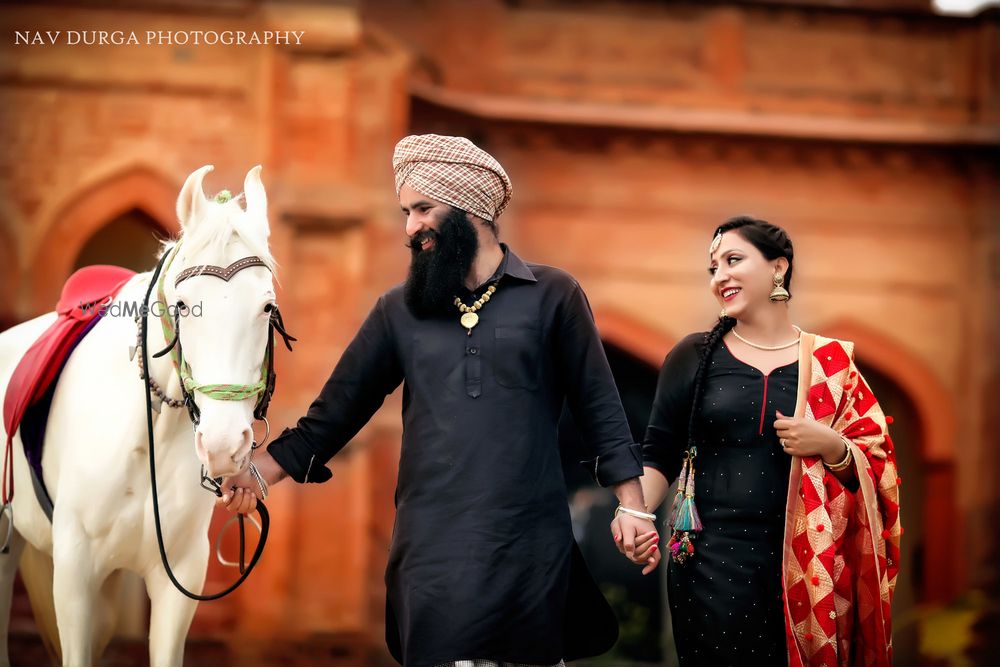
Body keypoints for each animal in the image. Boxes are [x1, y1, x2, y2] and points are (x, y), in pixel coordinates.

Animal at [0, 166, 280, 667]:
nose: (224, 446)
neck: (149, 438)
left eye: (267, 306)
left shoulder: (180, 577)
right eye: (184, 305)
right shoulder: (75, 575)